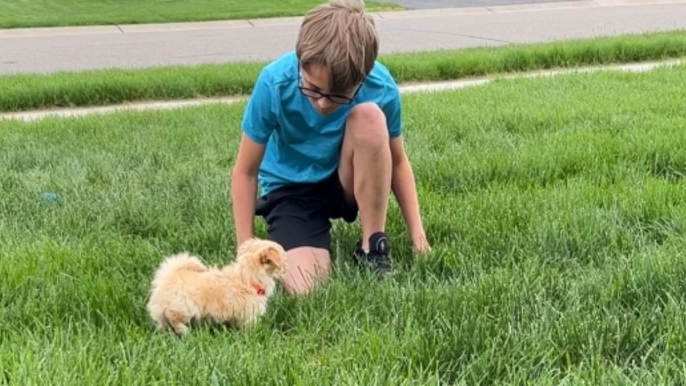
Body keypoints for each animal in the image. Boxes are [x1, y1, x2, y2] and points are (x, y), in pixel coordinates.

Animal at [148, 237, 288, 334]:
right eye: (283, 262)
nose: (287, 268)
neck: (247, 278)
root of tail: (168, 276)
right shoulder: (249, 314)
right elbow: (251, 326)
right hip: (185, 306)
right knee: (172, 315)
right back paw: (184, 330)